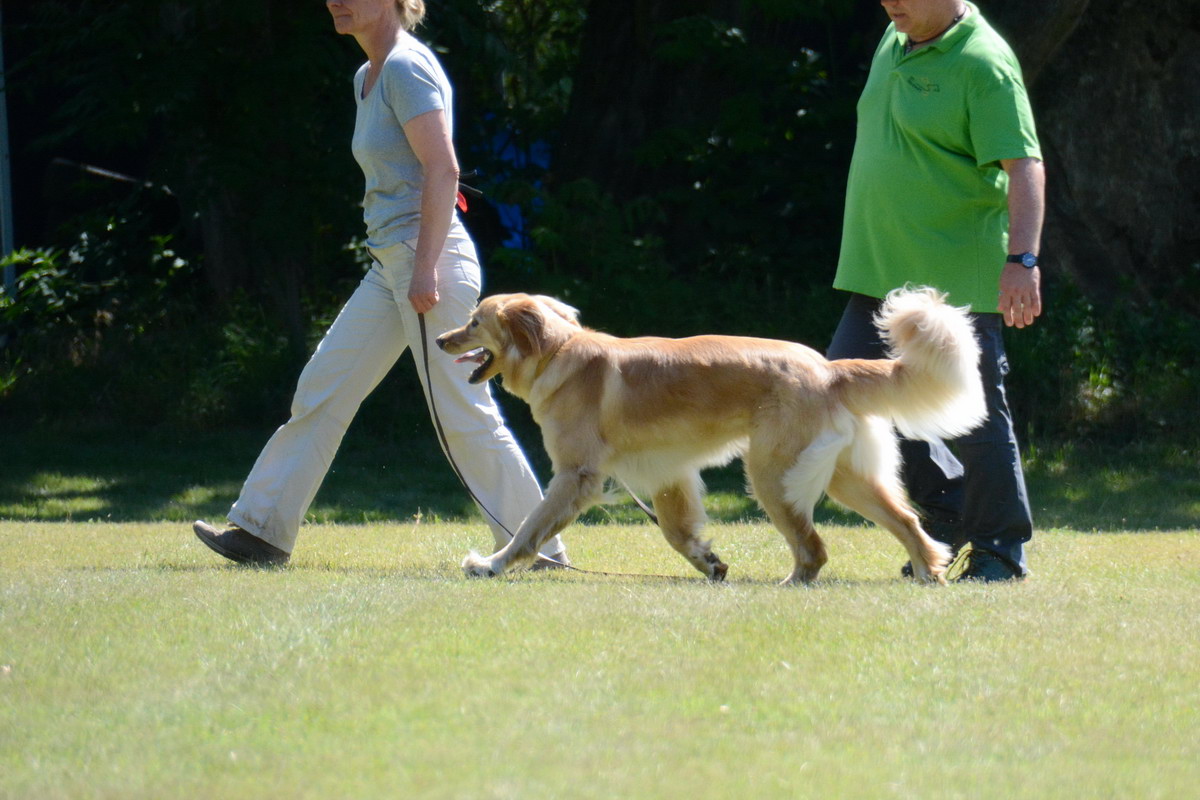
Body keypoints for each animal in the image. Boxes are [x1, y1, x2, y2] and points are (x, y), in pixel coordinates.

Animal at [436, 286, 979, 582]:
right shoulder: (668, 473)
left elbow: (529, 528)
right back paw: (929, 573)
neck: (557, 353)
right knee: (907, 521)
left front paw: (492, 564)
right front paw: (709, 562)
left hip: (772, 475)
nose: (439, 339)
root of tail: (828, 369)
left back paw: (791, 583)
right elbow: (677, 532)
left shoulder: (575, 475)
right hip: (845, 479)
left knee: (814, 547)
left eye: (473, 322)